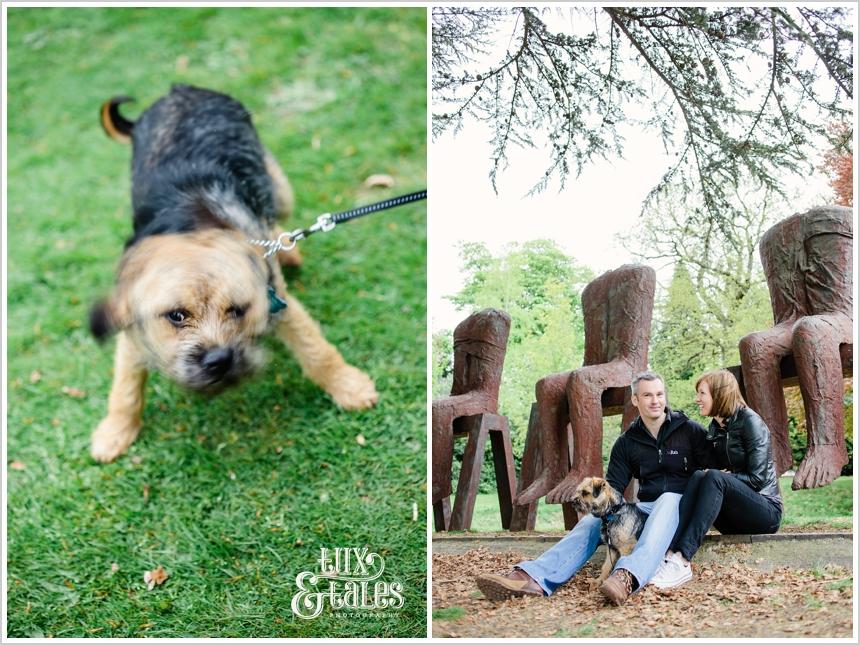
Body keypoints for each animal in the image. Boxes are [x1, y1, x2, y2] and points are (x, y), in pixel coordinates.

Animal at [88, 83, 380, 460]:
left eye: (237, 311)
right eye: (176, 315)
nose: (218, 360)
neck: (190, 226)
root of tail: (180, 90)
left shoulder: (280, 304)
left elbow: (317, 351)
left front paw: (349, 386)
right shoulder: (132, 333)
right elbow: (124, 388)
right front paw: (114, 432)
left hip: (279, 188)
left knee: (276, 222)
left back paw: (288, 248)